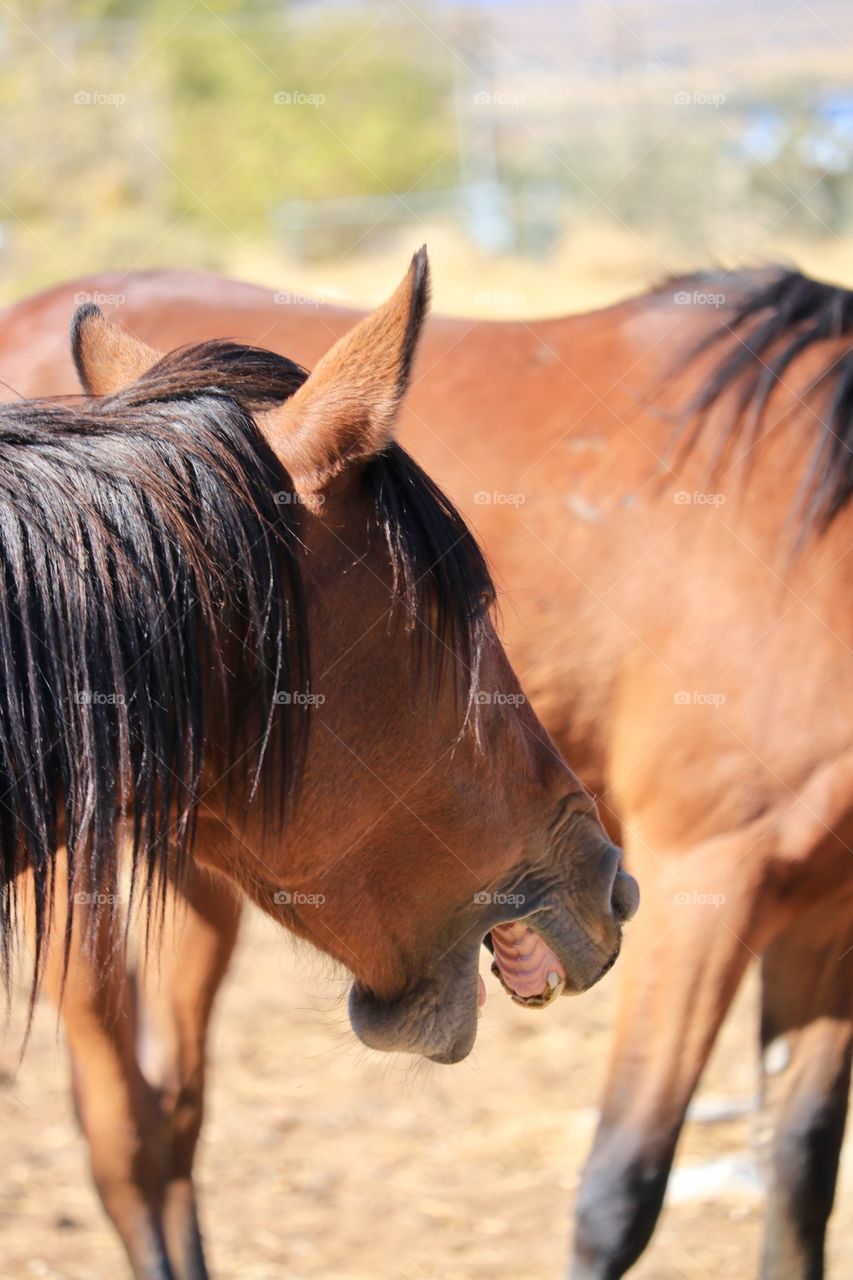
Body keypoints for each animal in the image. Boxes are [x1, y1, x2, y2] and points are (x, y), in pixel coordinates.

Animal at [3, 264, 845, 1274]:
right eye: (470, 615)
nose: (610, 883)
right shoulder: (711, 873)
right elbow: (621, 1189)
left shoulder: (827, 919)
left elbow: (799, 1170)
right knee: (123, 1133)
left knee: (171, 1114)